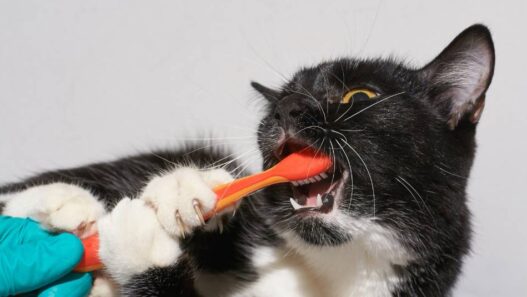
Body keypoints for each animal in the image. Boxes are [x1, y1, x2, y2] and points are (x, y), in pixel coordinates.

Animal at [0, 23, 496, 296]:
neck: (340, 263)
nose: (286, 108)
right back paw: (66, 206)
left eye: (359, 95)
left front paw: (144, 241)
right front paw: (185, 191)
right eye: (278, 103)